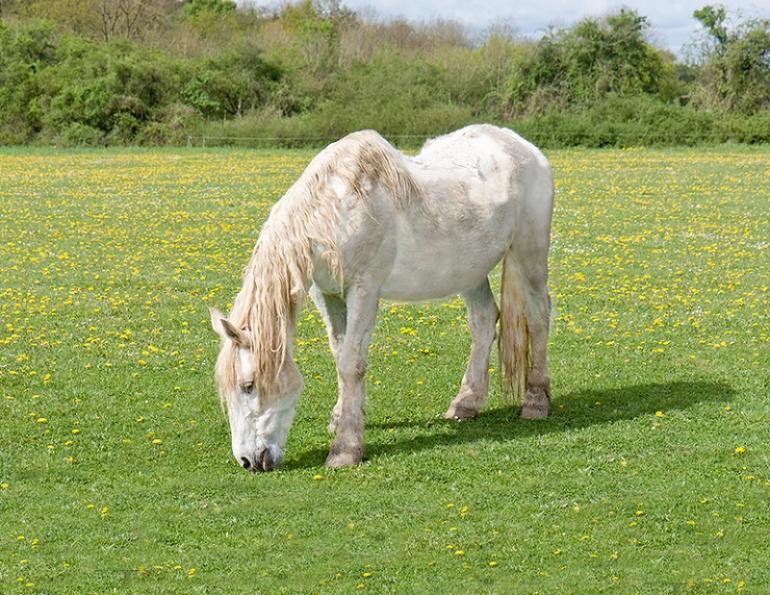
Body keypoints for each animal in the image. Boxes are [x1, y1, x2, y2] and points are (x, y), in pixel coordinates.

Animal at [209, 124, 554, 471]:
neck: (336, 212)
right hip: (470, 272)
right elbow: (339, 353)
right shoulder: (328, 294)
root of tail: (525, 148)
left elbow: (351, 363)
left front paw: (345, 449)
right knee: (483, 321)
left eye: (249, 385)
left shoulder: (364, 290)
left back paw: (536, 401)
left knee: (538, 315)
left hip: (529, 254)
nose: (248, 461)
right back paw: (466, 403)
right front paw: (343, 416)